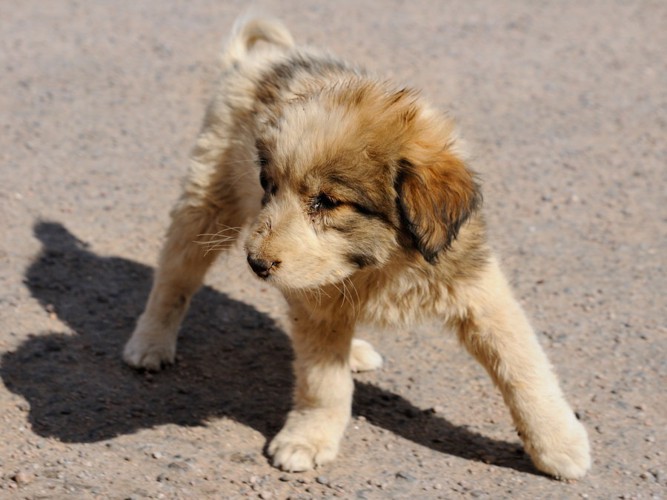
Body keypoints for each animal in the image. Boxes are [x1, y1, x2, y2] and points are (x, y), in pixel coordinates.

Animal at [122, 18, 592, 480]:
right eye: (268, 186)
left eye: (328, 202)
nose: (256, 263)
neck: (384, 264)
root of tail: (269, 57)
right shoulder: (316, 305)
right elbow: (323, 383)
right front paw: (309, 438)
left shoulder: (479, 291)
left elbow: (524, 367)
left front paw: (558, 444)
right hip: (206, 205)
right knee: (174, 278)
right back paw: (150, 342)